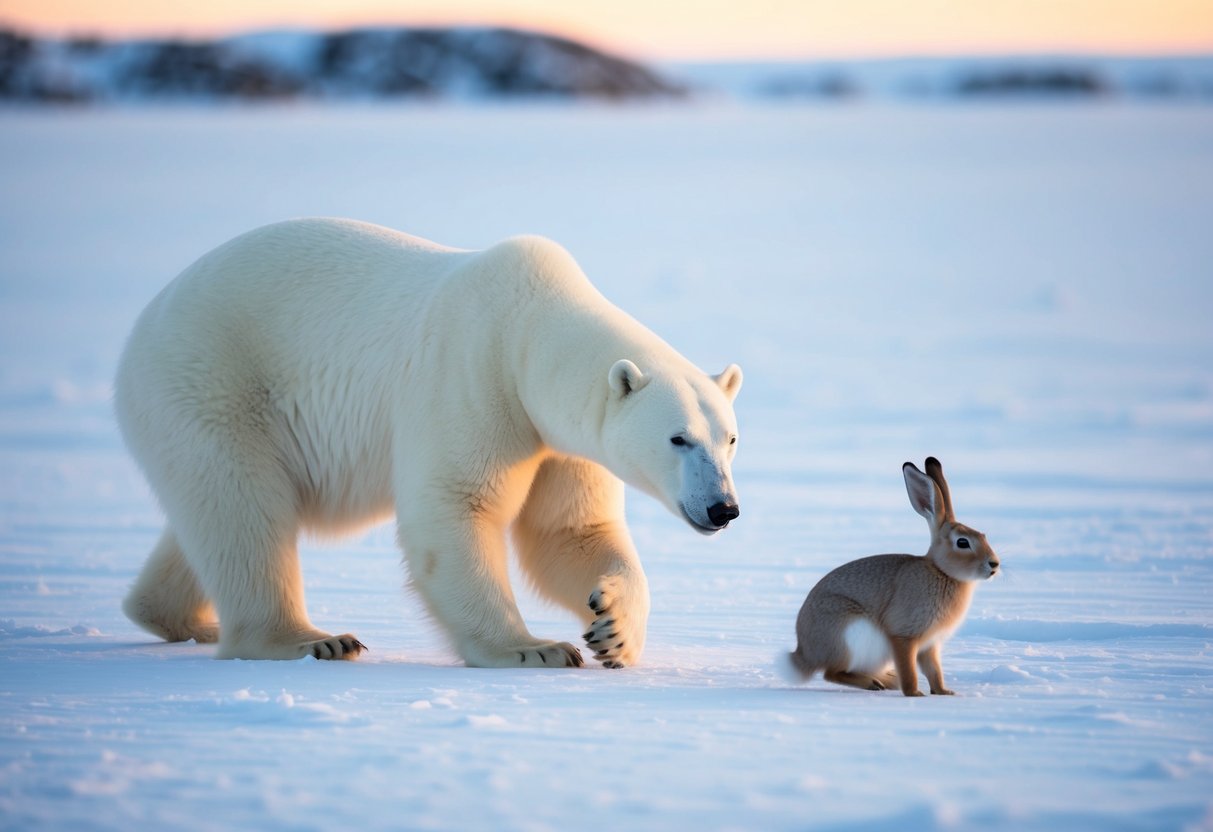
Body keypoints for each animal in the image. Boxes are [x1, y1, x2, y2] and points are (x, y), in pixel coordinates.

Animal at [115, 217, 743, 667]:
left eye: (731, 438)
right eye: (678, 438)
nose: (724, 508)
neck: (527, 325)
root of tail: (141, 329)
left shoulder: (554, 440)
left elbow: (568, 530)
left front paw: (613, 629)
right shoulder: (470, 376)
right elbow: (455, 506)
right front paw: (532, 648)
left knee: (213, 514)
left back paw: (178, 618)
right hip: (216, 381)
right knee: (245, 511)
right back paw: (309, 639)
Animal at [787, 457, 999, 697]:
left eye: (983, 536)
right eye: (963, 542)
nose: (994, 564)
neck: (941, 571)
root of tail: (803, 653)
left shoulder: (930, 645)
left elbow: (934, 670)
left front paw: (944, 692)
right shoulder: (904, 636)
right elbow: (909, 669)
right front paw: (915, 694)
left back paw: (885, 680)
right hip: (849, 633)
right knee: (832, 673)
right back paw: (872, 683)